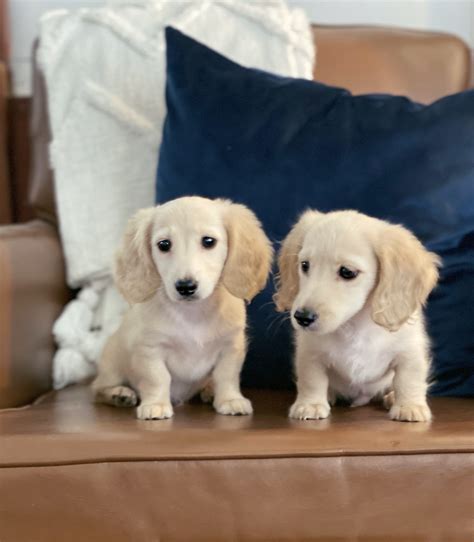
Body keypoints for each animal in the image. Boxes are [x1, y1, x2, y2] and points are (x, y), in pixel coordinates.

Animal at [91, 196, 272, 420]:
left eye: (209, 241)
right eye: (164, 244)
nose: (185, 287)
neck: (193, 314)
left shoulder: (231, 346)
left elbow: (226, 376)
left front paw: (230, 399)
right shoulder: (150, 349)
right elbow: (158, 378)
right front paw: (156, 404)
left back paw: (209, 390)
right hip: (112, 367)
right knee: (98, 389)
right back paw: (119, 393)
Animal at [274, 210, 440, 422]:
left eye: (347, 272)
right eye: (304, 265)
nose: (302, 317)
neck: (355, 324)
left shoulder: (409, 352)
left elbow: (409, 379)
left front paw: (409, 406)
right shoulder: (310, 353)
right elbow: (311, 379)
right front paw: (310, 404)